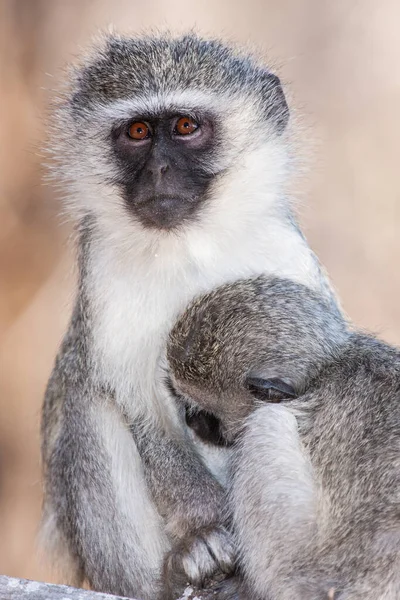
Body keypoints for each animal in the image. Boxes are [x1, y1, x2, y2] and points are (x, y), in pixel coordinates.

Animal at [42, 29, 340, 600]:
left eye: (185, 126)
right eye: (137, 132)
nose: (159, 170)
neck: (188, 245)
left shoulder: (282, 249)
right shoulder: (104, 273)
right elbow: (136, 402)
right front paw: (203, 532)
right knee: (87, 398)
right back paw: (173, 572)